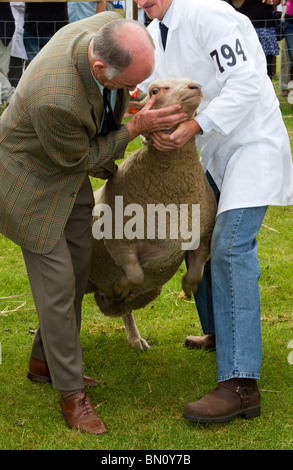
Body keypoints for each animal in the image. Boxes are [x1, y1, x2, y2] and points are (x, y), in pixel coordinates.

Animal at [85, 77, 216, 348]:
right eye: (155, 90)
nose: (195, 87)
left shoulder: (203, 237)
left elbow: (197, 272)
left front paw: (188, 287)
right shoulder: (119, 239)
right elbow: (135, 274)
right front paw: (120, 286)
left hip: (150, 291)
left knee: (124, 310)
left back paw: (134, 337)